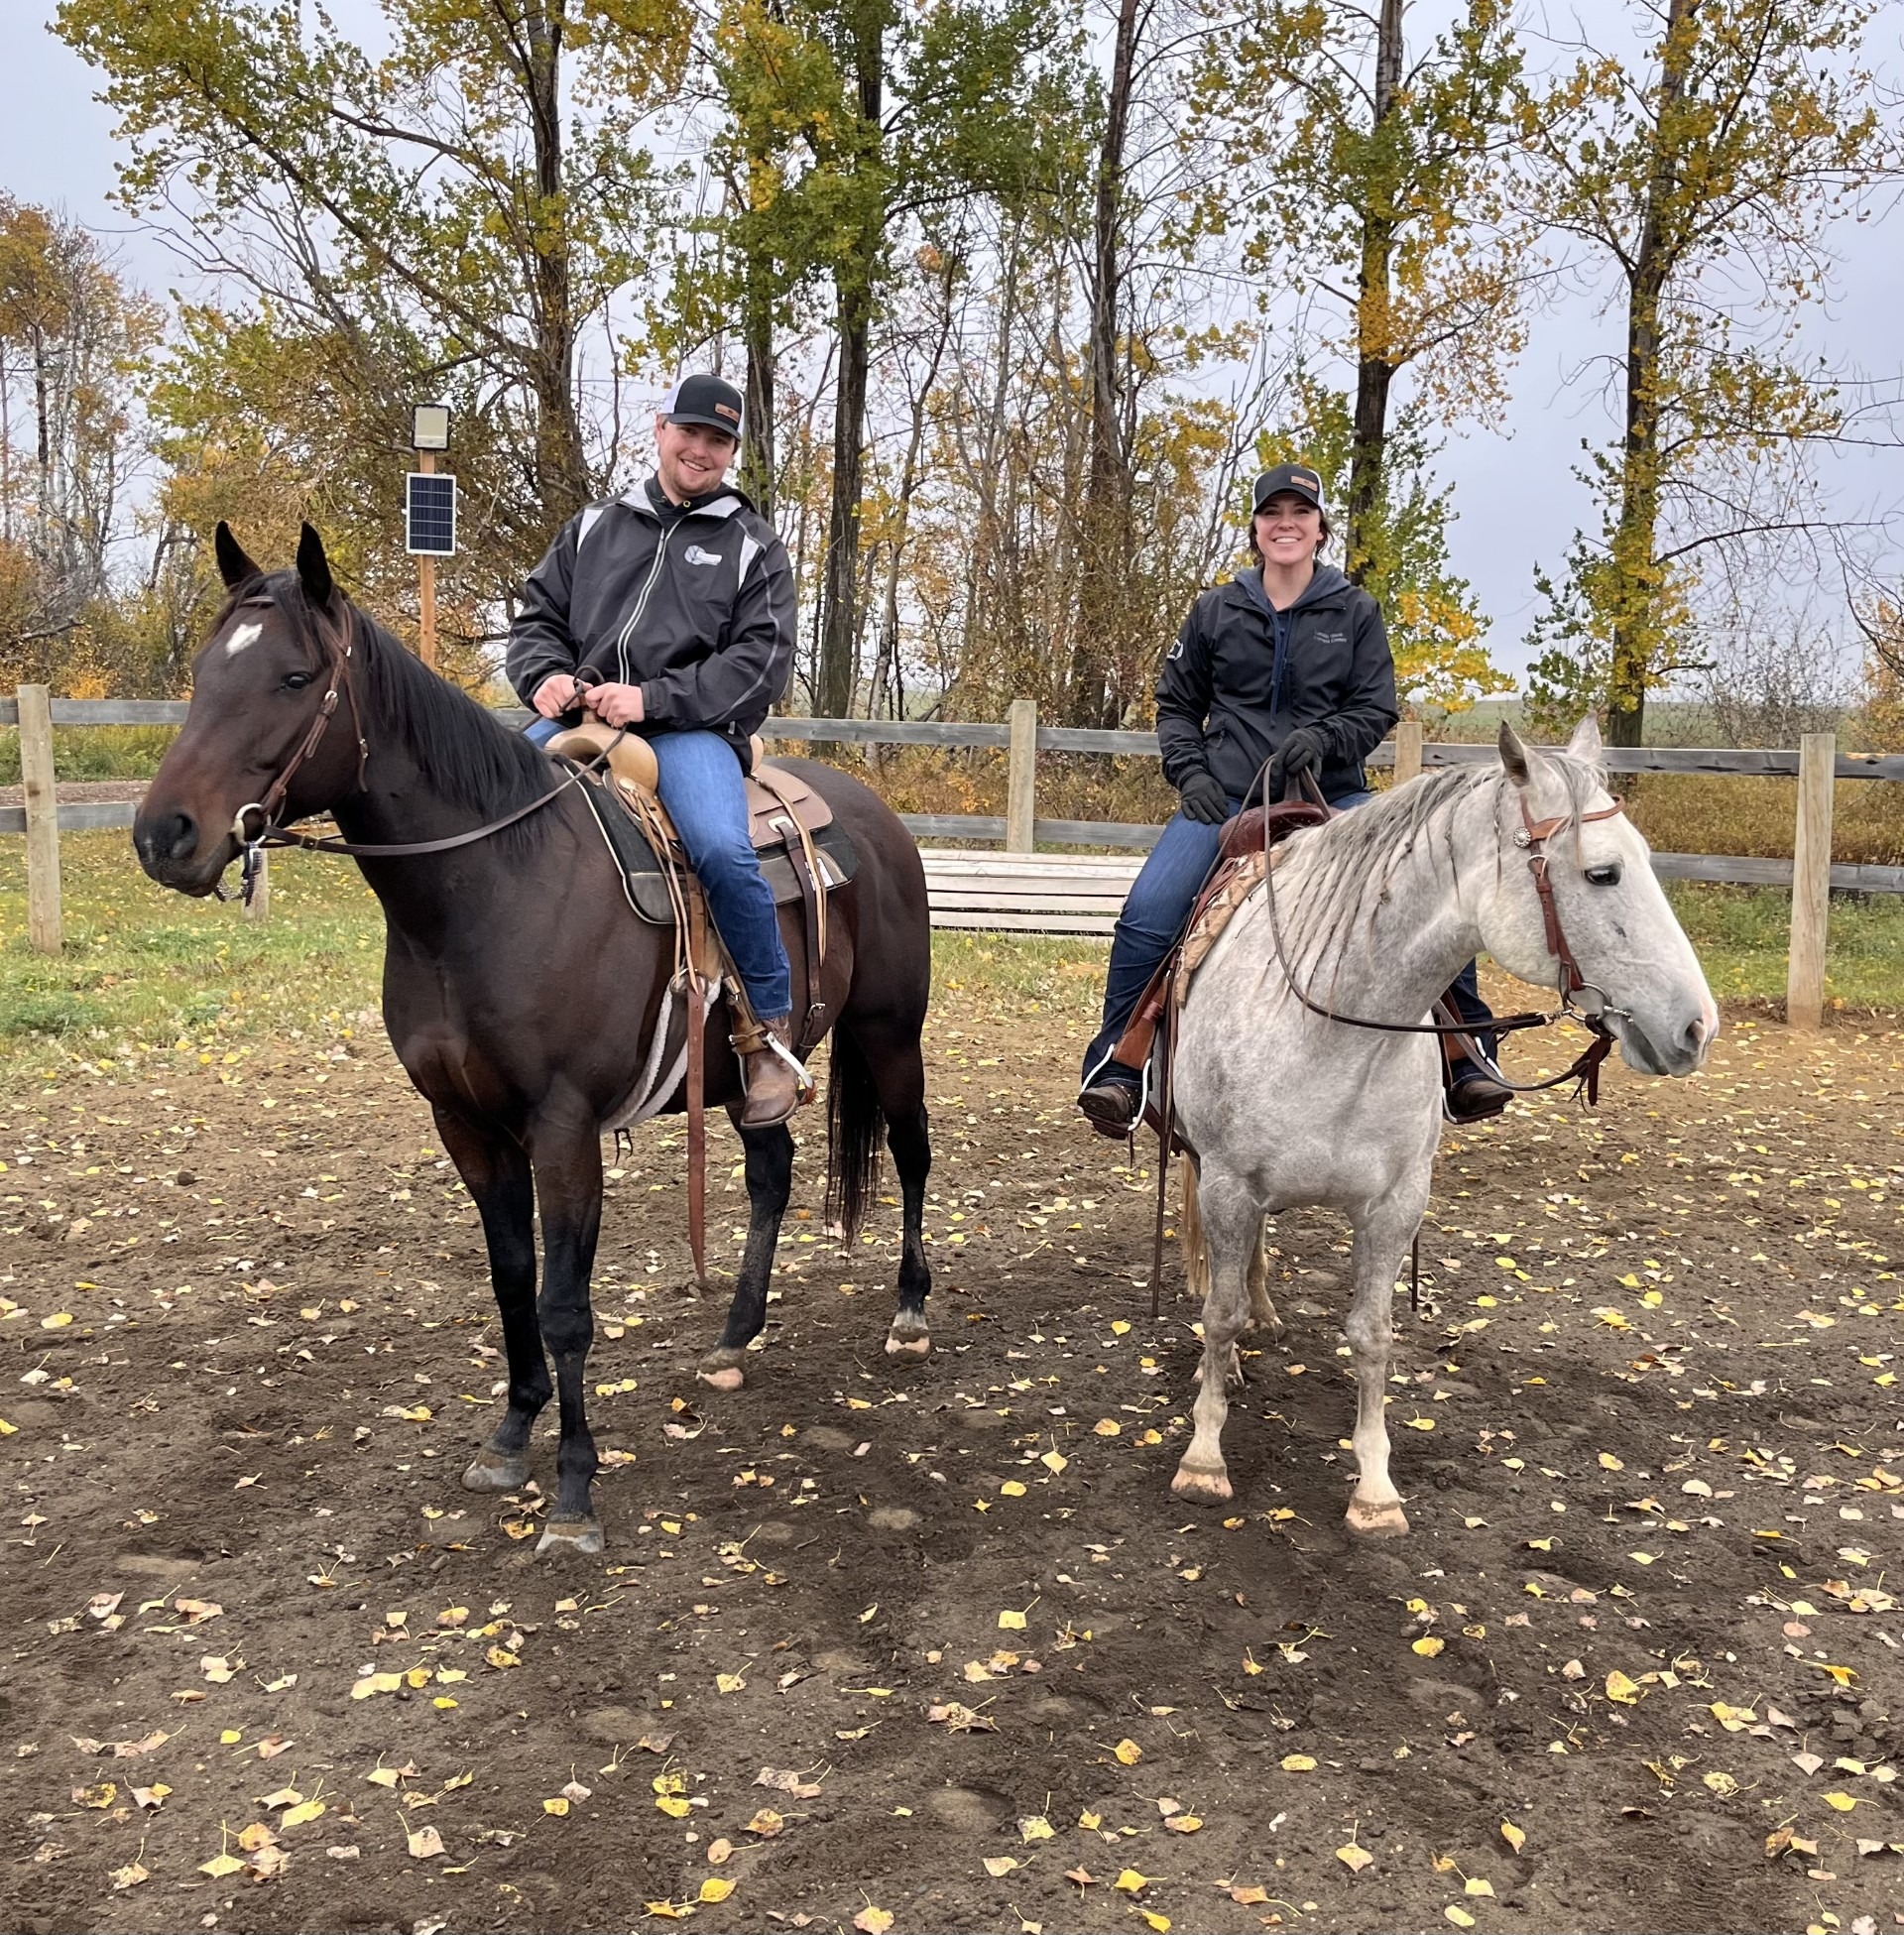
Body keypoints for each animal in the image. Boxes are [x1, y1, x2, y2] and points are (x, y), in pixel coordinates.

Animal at [132, 524, 935, 1556]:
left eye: (294, 676)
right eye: (204, 671)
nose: (164, 835)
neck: (490, 888)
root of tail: (878, 818)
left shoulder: (563, 1129)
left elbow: (564, 1308)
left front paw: (574, 1493)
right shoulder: (465, 1124)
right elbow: (511, 1279)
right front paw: (510, 1436)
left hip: (891, 1033)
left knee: (911, 1152)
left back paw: (909, 1312)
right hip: (740, 1073)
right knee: (772, 1171)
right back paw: (733, 1336)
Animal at [1167, 719, 1717, 1533]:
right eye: (1603, 874)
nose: (1697, 1026)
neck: (1333, 1030)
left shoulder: (1397, 1204)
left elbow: (1371, 1335)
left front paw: (1374, 1488)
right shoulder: (1231, 1183)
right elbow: (1219, 1313)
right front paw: (1204, 1455)